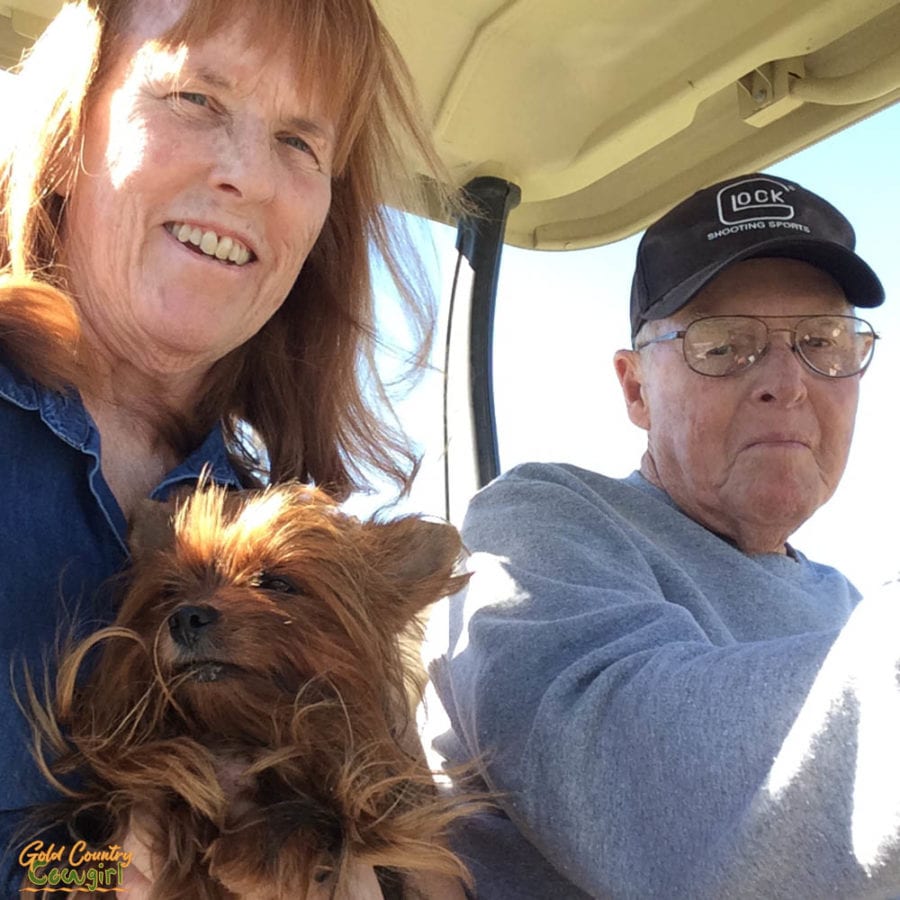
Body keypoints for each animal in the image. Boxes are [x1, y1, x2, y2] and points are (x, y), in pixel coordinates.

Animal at [22, 482, 472, 896]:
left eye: (276, 582)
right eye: (170, 592)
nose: (184, 617)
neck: (243, 729)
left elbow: (338, 817)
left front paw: (261, 851)